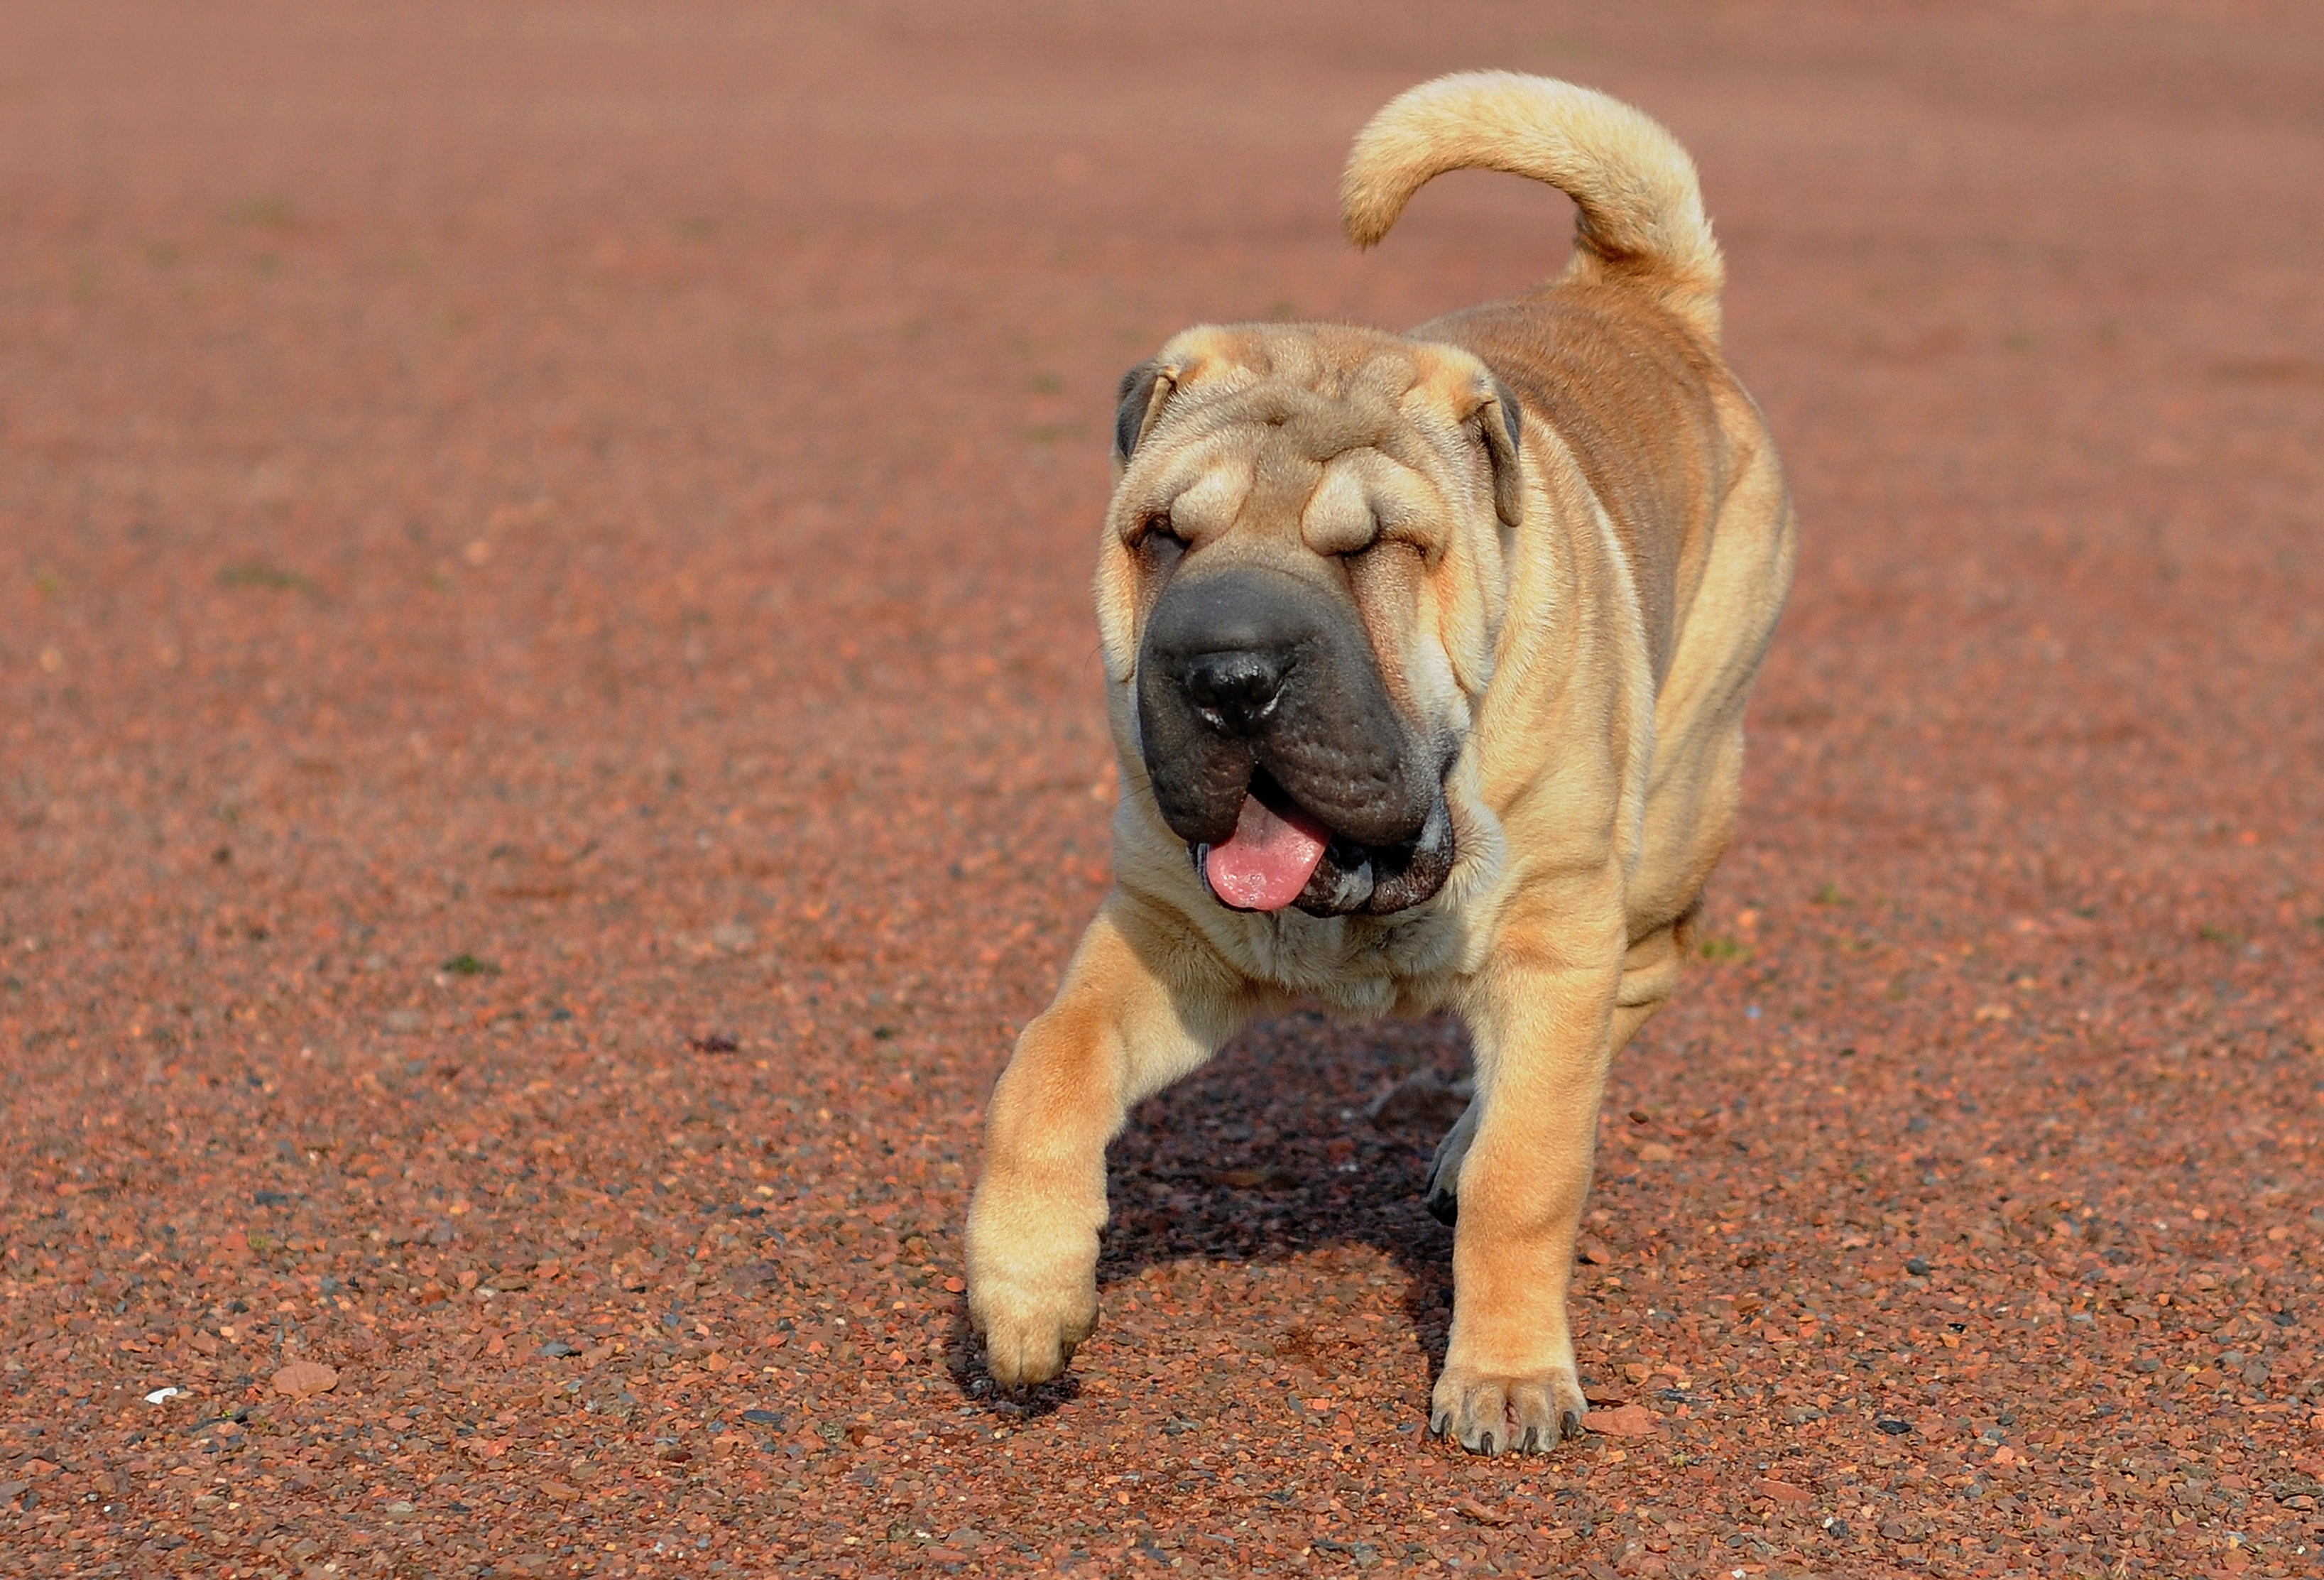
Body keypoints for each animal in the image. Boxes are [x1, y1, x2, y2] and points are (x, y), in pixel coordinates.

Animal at [962, 74, 1794, 1459]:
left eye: (1377, 549)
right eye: (1160, 536)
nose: (1228, 673)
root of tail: (1632, 293)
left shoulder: (1555, 933)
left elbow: (1530, 1170)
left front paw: (1505, 1376)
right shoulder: (1159, 934)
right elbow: (1048, 1062)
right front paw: (1025, 1291)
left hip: (1672, 813)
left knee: (1628, 989)